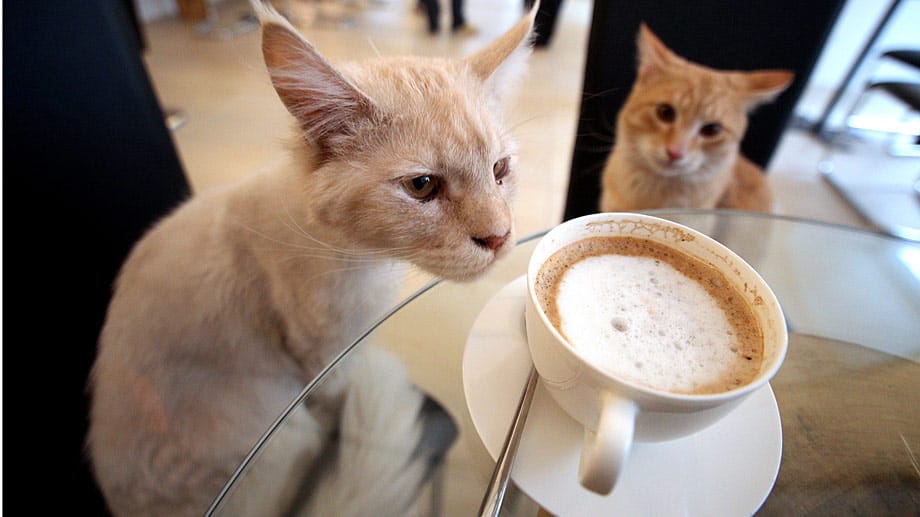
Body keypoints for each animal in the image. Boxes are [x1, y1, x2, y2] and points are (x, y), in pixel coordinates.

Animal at [87, 2, 540, 512]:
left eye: (500, 170)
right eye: (422, 186)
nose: (499, 237)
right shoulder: (324, 352)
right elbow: (336, 396)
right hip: (274, 433)